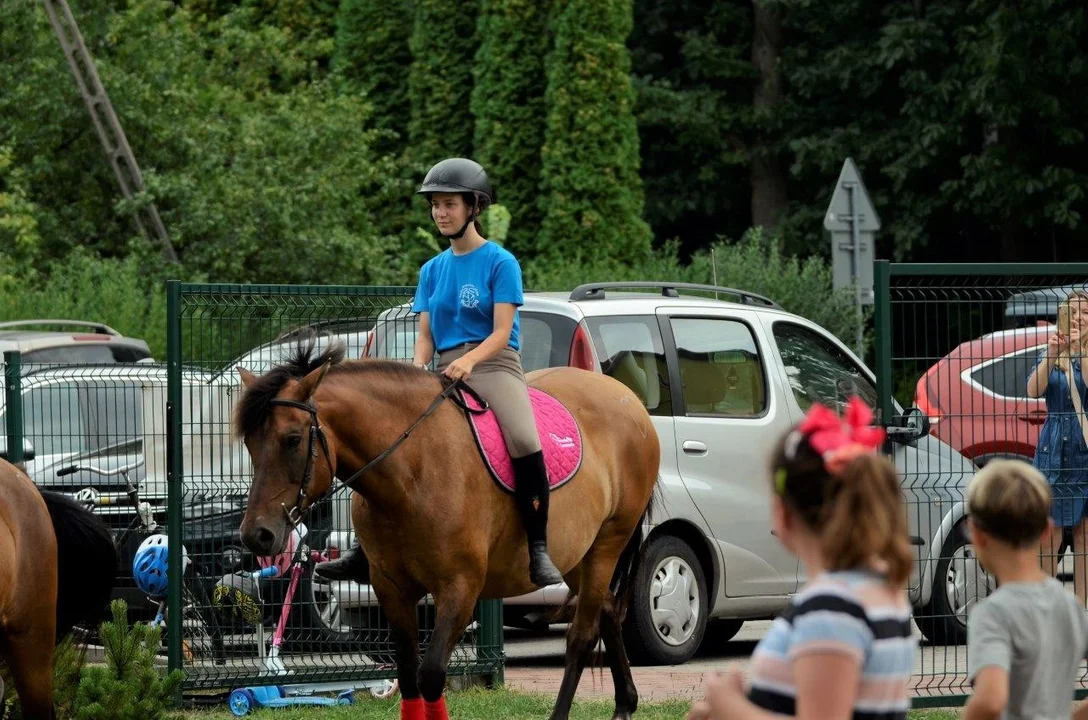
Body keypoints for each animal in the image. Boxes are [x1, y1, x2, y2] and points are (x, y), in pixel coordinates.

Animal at [238, 339, 657, 720]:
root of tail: (626, 397)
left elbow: (431, 675)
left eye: (292, 440)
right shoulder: (392, 589)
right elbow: (409, 677)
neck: (412, 471)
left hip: (607, 545)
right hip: (575, 556)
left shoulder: (460, 589)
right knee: (607, 610)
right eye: (250, 444)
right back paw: (625, 705)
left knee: (582, 634)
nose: (256, 535)